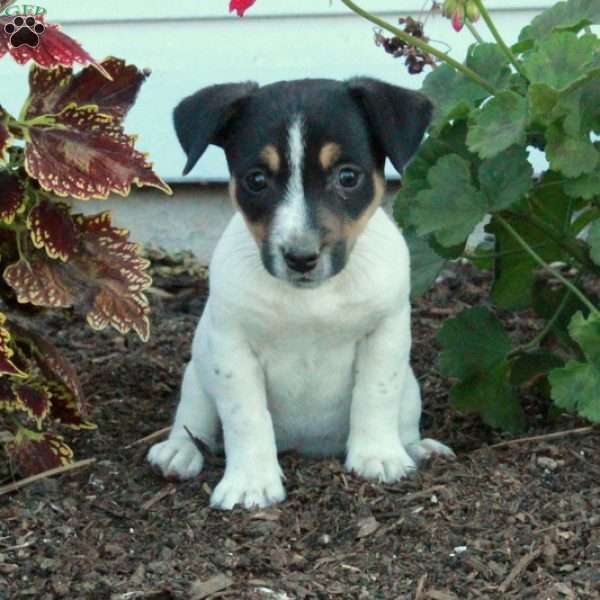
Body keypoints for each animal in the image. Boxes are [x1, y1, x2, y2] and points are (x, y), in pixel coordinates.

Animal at [149, 77, 454, 510]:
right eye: (257, 180)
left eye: (348, 177)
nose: (301, 257)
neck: (313, 299)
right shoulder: (232, 347)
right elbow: (246, 416)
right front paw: (251, 482)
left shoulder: (385, 333)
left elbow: (376, 395)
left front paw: (377, 456)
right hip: (198, 375)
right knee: (194, 423)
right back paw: (179, 452)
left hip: (410, 389)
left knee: (404, 418)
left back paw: (418, 448)